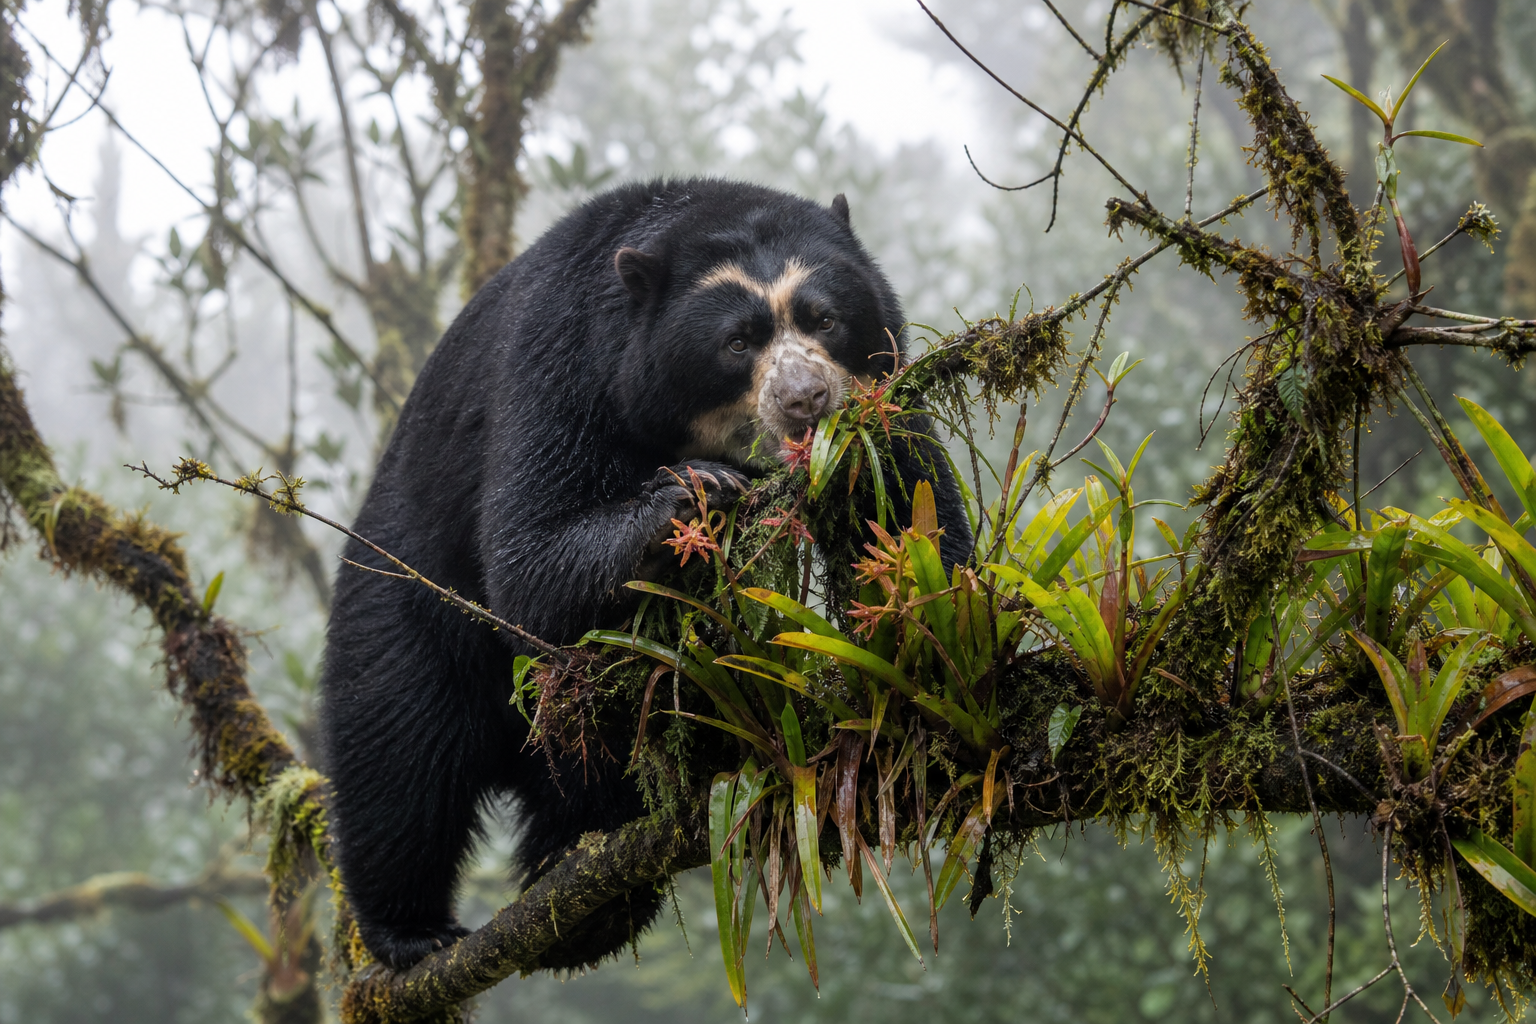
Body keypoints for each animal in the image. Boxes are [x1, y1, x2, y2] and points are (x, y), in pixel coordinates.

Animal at [319, 178, 972, 972]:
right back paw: (414, 930)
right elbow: (530, 560)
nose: (807, 399)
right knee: (399, 747)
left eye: (824, 318)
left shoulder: (875, 402)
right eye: (736, 342)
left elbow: (903, 502)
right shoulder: (561, 369)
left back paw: (587, 894)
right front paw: (695, 493)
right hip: (403, 588)